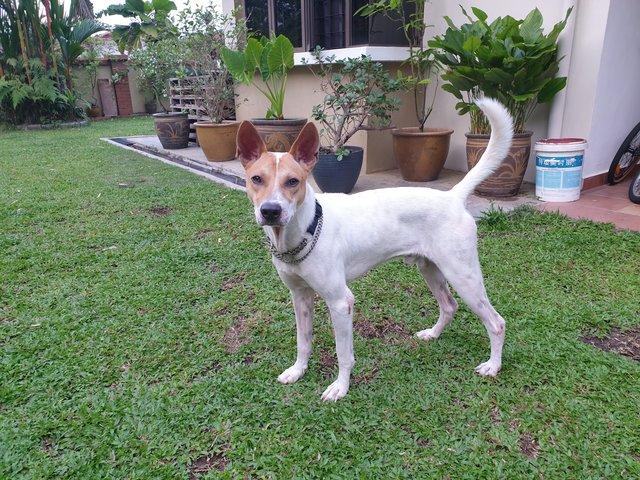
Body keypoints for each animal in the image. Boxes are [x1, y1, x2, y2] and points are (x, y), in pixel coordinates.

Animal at [238, 97, 512, 402]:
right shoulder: (300, 297)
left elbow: (344, 354)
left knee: (496, 323)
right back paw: (433, 334)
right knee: (449, 305)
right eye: (256, 179)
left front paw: (341, 387)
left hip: (463, 276)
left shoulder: (341, 302)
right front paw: (298, 370)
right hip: (430, 269)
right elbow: (303, 342)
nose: (270, 211)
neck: (306, 228)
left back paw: (493, 366)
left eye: (293, 181)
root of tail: (452, 197)